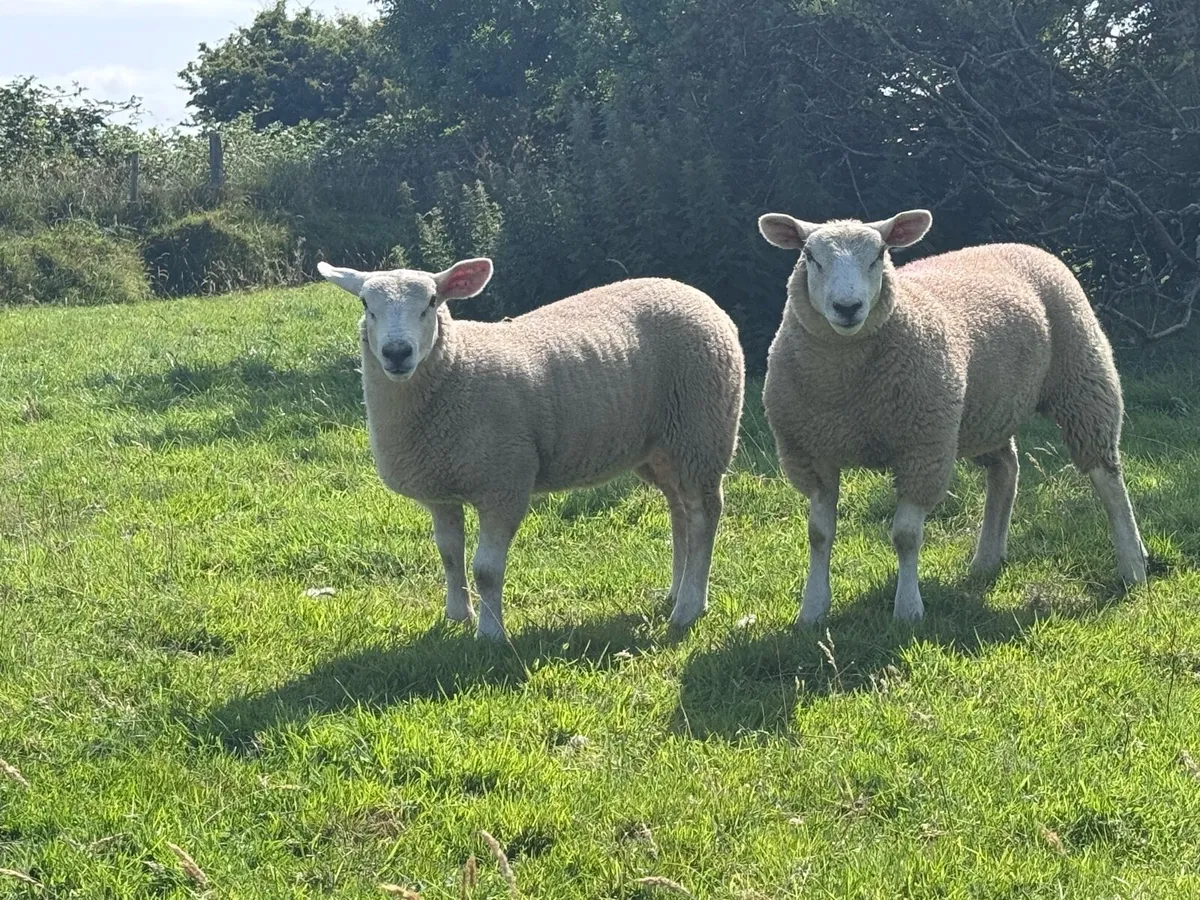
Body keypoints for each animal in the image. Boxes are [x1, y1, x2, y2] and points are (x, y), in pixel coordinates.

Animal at [317, 258, 745, 640]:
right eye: (365, 305)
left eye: (432, 302)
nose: (397, 353)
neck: (457, 368)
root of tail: (691, 292)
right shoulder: (440, 489)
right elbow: (449, 554)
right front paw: (457, 616)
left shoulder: (503, 483)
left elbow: (486, 570)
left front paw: (490, 634)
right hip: (663, 447)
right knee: (680, 514)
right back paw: (676, 592)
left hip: (702, 431)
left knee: (704, 515)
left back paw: (689, 608)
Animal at [756, 208, 1147, 624]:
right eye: (810, 257)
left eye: (879, 254)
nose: (848, 308)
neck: (846, 387)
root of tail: (1018, 245)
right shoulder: (810, 454)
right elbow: (818, 534)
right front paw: (812, 610)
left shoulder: (923, 450)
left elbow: (905, 536)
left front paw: (908, 610)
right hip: (983, 414)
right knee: (1006, 470)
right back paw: (987, 560)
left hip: (1082, 379)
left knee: (1108, 478)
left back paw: (1132, 565)